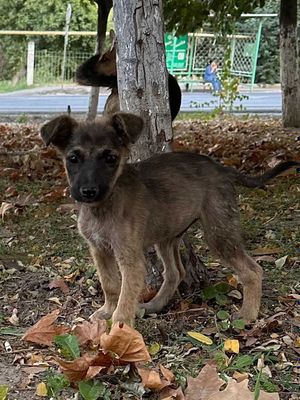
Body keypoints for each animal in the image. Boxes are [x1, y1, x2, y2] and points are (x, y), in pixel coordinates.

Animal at [41, 112, 298, 324]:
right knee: (176, 273)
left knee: (253, 270)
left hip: (218, 232)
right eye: (73, 158)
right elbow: (110, 285)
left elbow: (125, 300)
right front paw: (106, 312)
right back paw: (155, 304)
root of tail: (221, 168)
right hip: (168, 236)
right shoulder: (99, 249)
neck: (104, 206)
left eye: (110, 158)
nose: (88, 191)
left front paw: (119, 333)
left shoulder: (130, 258)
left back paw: (247, 315)